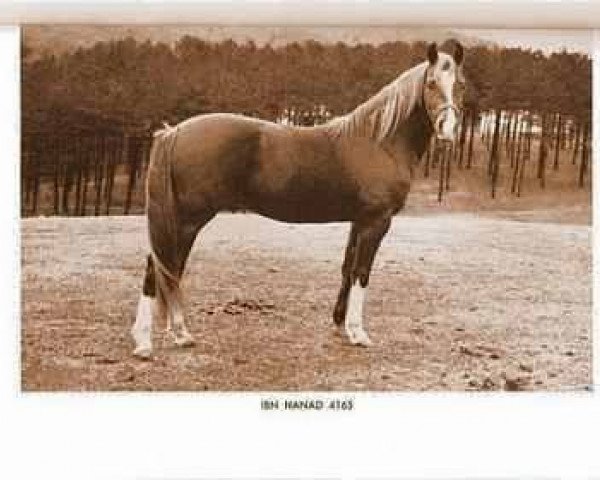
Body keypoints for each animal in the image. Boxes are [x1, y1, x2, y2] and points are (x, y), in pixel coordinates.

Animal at [130, 41, 468, 358]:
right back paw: (149, 342)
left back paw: (174, 334)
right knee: (160, 268)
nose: (448, 129)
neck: (379, 141)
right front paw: (358, 333)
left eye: (461, 84)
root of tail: (174, 132)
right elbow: (362, 273)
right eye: (431, 83)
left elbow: (347, 269)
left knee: (166, 269)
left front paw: (339, 324)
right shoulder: (376, 222)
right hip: (187, 221)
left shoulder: (358, 221)